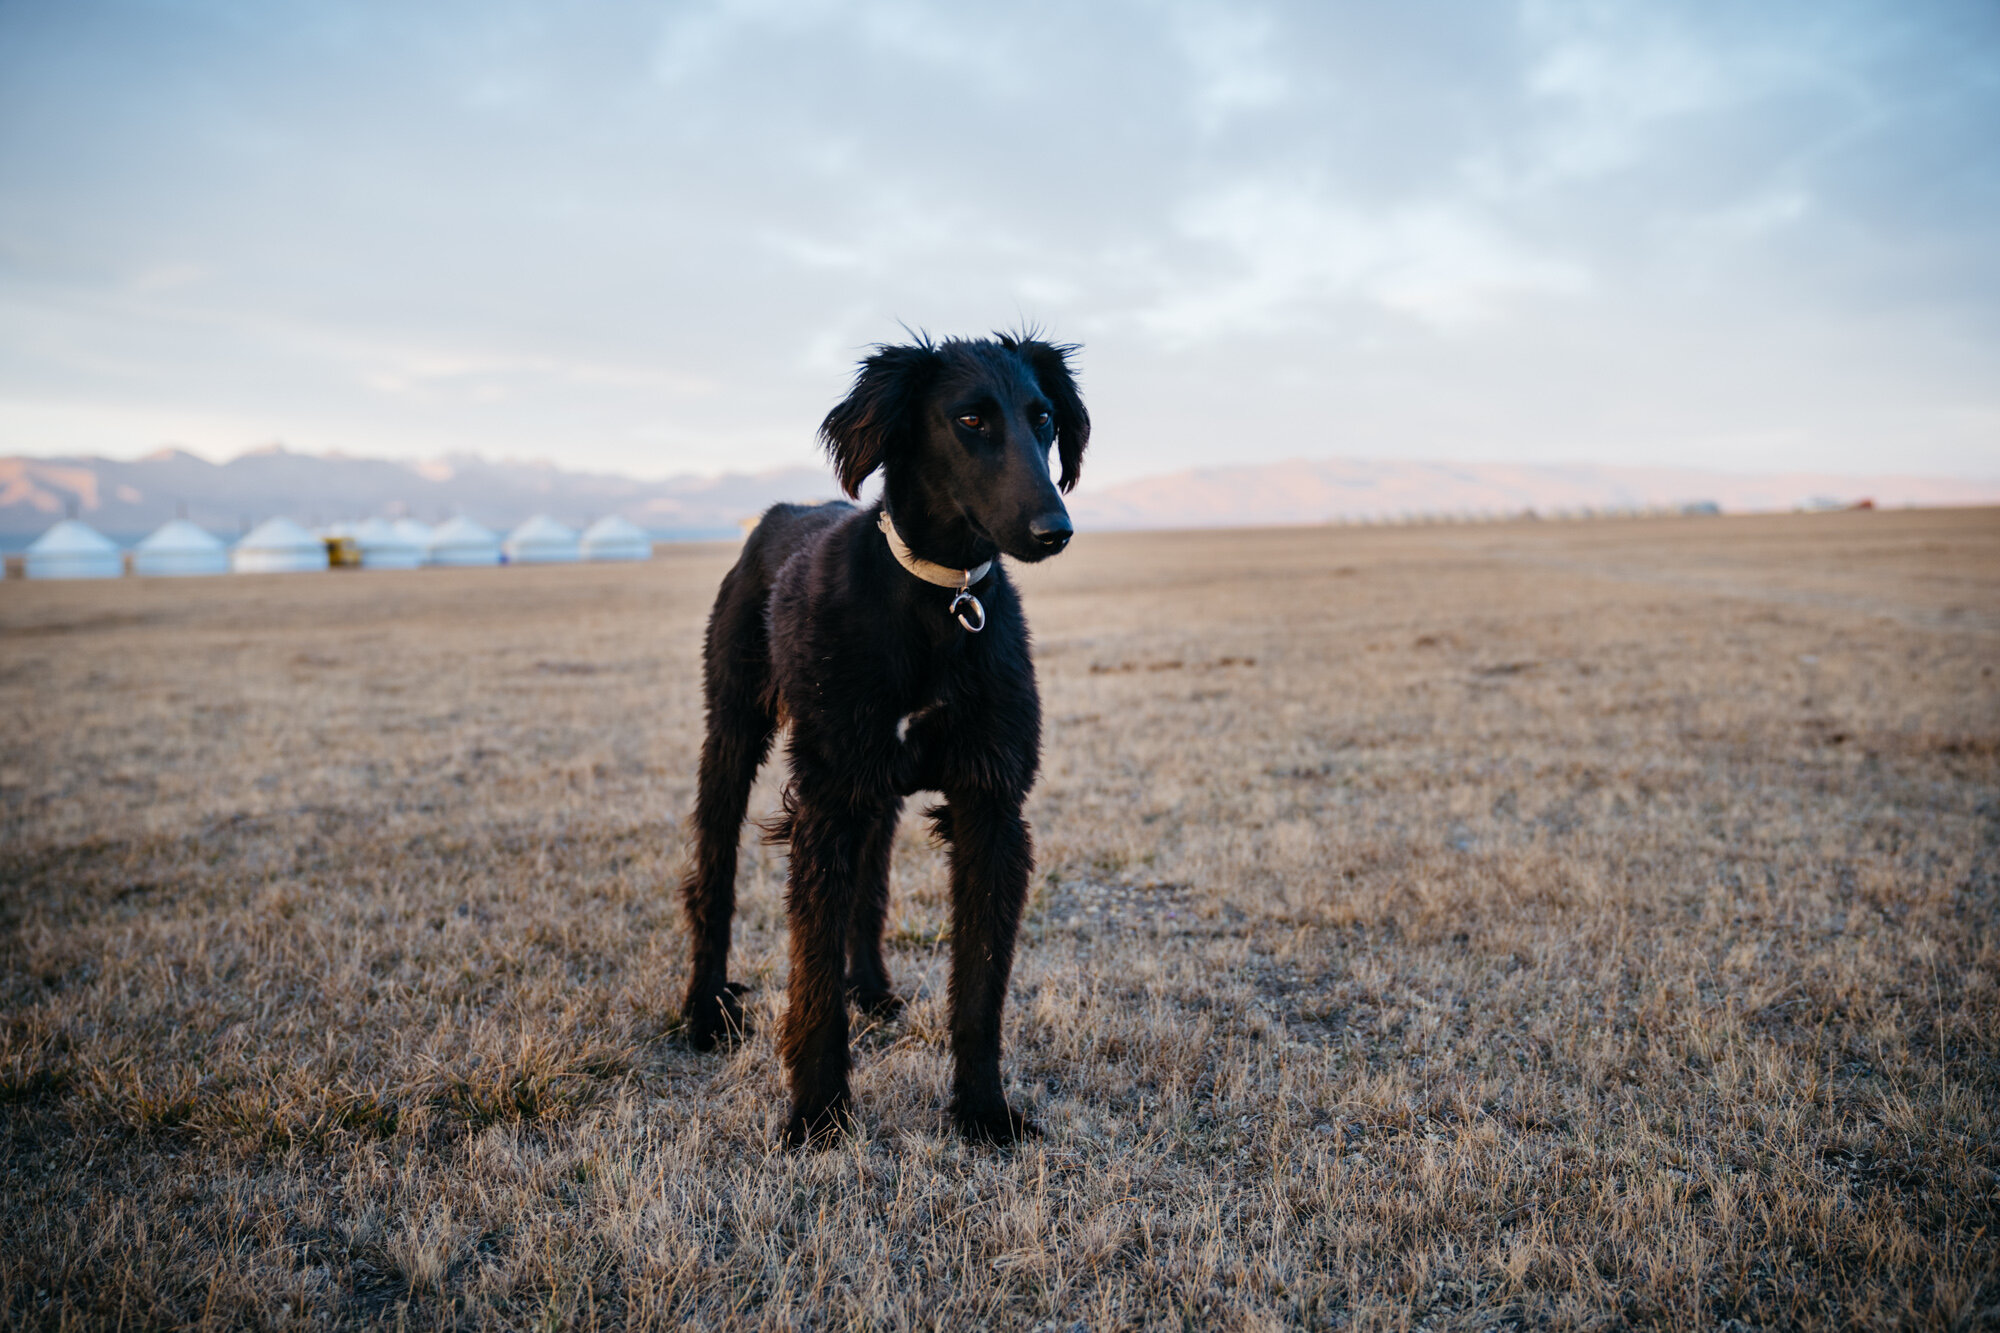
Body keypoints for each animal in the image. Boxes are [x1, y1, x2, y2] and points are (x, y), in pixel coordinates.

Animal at [676, 332, 1088, 1144]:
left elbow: (980, 984)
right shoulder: (827, 798)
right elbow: (810, 975)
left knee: (867, 888)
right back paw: (704, 1011)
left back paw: (870, 988)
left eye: (1044, 417)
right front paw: (817, 1114)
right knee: (713, 878)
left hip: (877, 786)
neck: (939, 599)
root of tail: (780, 513)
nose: (1054, 530)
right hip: (733, 734)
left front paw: (984, 1111)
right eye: (970, 418)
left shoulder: (990, 804)